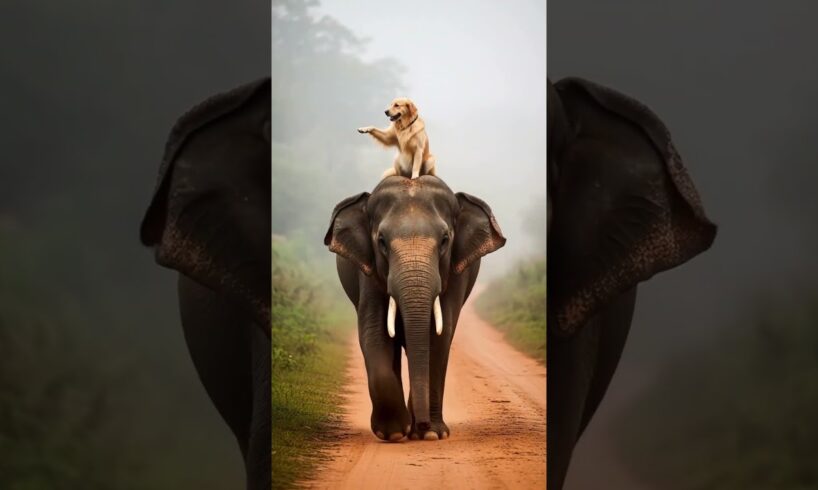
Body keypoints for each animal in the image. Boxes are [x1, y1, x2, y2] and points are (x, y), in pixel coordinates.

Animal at [324, 176, 506, 441]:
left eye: (444, 240)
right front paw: (394, 432)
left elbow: (439, 336)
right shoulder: (367, 273)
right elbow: (374, 332)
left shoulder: (455, 274)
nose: (422, 424)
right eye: (381, 241)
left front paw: (430, 434)